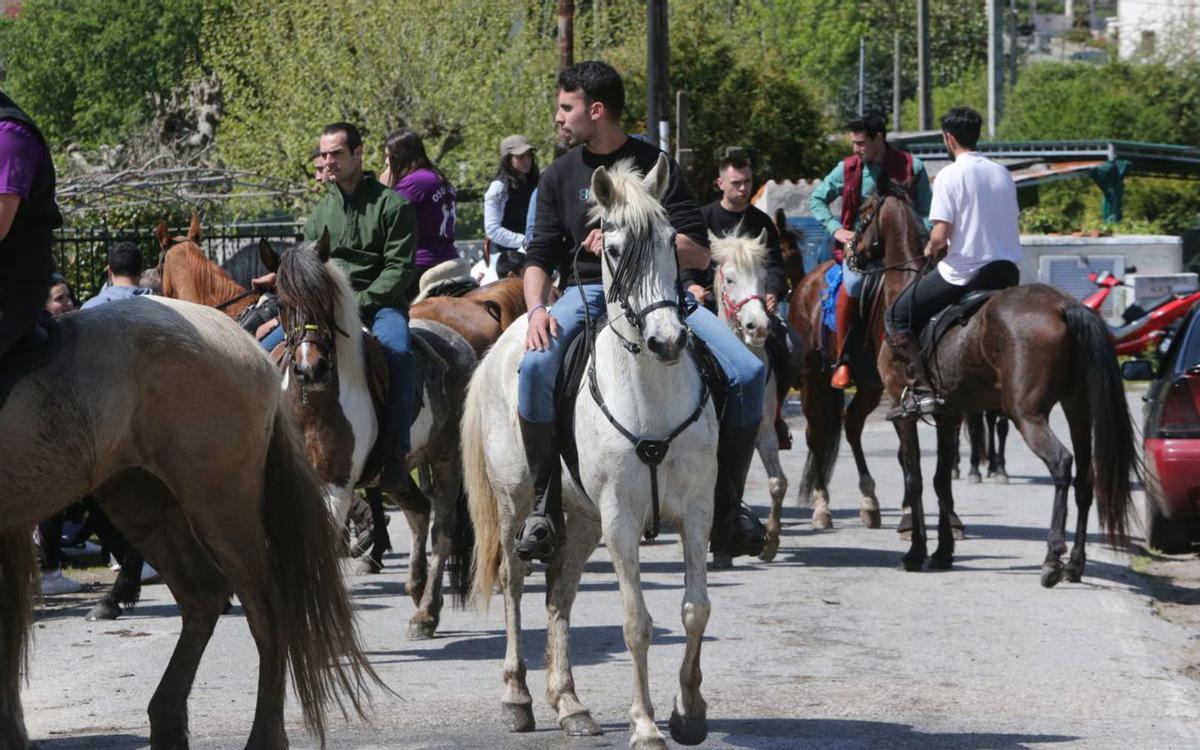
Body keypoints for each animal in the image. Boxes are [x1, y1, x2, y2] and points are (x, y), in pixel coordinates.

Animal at [0, 298, 374, 748]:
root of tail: (245, 345)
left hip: (219, 505)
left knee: (266, 609)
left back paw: (262, 735)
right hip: (142, 501)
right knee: (204, 594)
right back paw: (166, 718)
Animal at [463, 154, 715, 744]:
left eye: (672, 240)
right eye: (615, 249)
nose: (667, 341)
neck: (651, 393)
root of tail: (502, 342)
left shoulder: (697, 510)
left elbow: (695, 610)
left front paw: (689, 710)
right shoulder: (620, 516)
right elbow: (636, 623)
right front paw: (645, 725)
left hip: (579, 519)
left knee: (560, 593)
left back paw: (570, 704)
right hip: (516, 503)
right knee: (513, 585)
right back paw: (517, 698)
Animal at [854, 189, 1132, 583]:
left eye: (864, 213)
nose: (850, 251)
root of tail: (1063, 306)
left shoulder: (903, 413)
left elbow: (916, 479)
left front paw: (916, 552)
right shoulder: (950, 415)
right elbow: (941, 479)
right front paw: (942, 552)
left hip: (1027, 415)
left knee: (1061, 464)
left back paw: (1052, 557)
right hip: (1077, 409)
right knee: (1084, 477)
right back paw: (1075, 564)